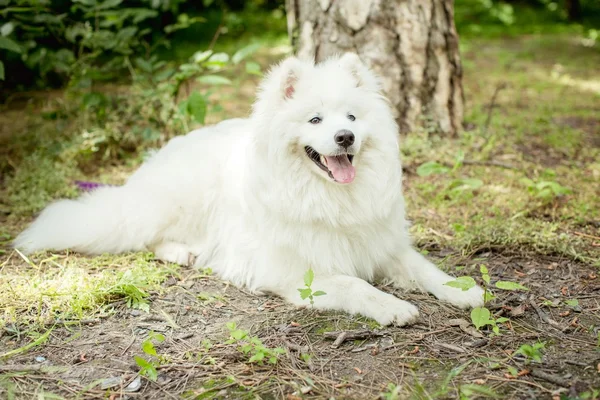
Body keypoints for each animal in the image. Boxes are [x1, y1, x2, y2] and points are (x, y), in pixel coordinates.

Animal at [14, 53, 482, 326]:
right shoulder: (297, 273)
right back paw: (184, 252)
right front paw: (392, 306)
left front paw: (464, 290)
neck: (331, 196)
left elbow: (425, 269)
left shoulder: (382, 245)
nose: (346, 137)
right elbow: (355, 286)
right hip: (175, 203)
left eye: (352, 117)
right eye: (315, 120)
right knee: (148, 238)